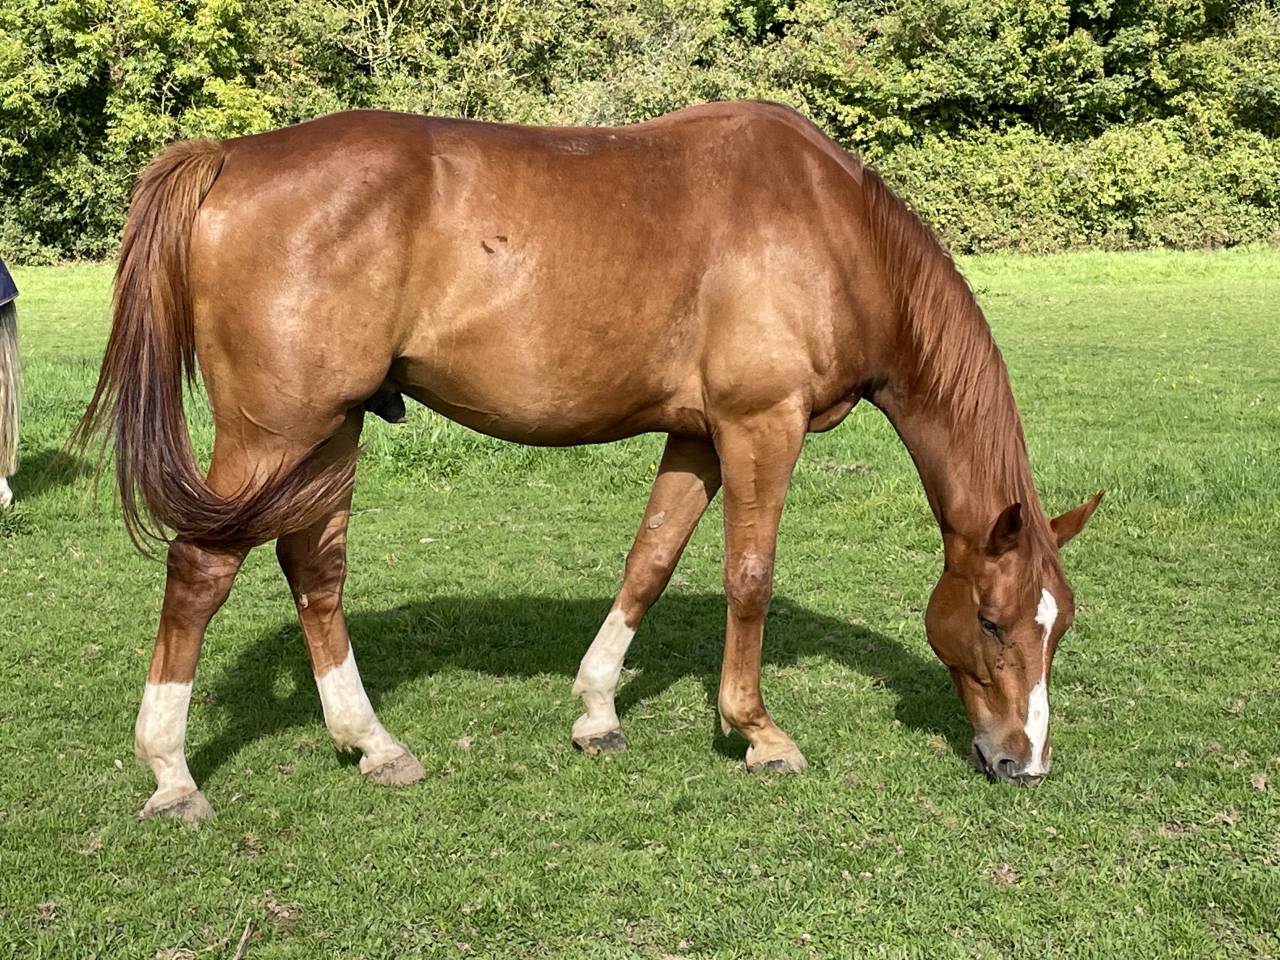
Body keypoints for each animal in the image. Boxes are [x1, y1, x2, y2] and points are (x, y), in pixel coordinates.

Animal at [74, 101, 1102, 823]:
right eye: (993, 622)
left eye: (1057, 629)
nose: (1025, 761)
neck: (830, 227)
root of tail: (232, 157)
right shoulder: (759, 427)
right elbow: (750, 576)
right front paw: (756, 731)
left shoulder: (699, 436)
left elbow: (650, 559)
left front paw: (598, 711)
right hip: (274, 434)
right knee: (201, 568)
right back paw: (172, 772)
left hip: (328, 433)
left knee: (312, 571)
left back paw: (371, 742)